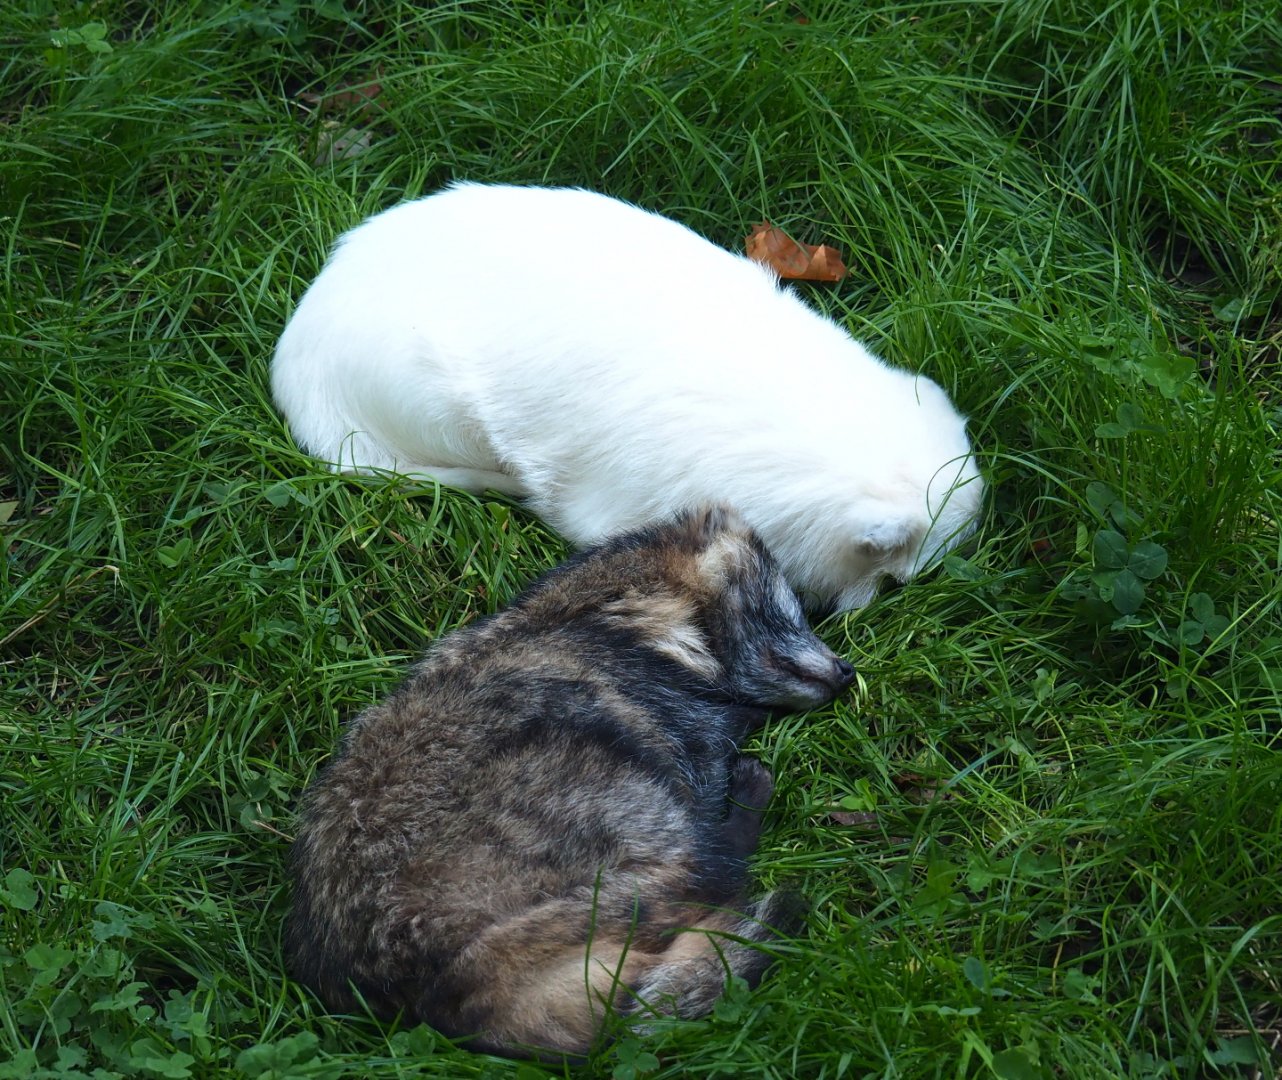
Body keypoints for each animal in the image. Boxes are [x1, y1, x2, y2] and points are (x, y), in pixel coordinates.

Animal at [285, 506, 854, 1058]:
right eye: (786, 608)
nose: (848, 671)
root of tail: (443, 992)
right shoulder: (672, 712)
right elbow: (706, 756)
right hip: (592, 801)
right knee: (705, 867)